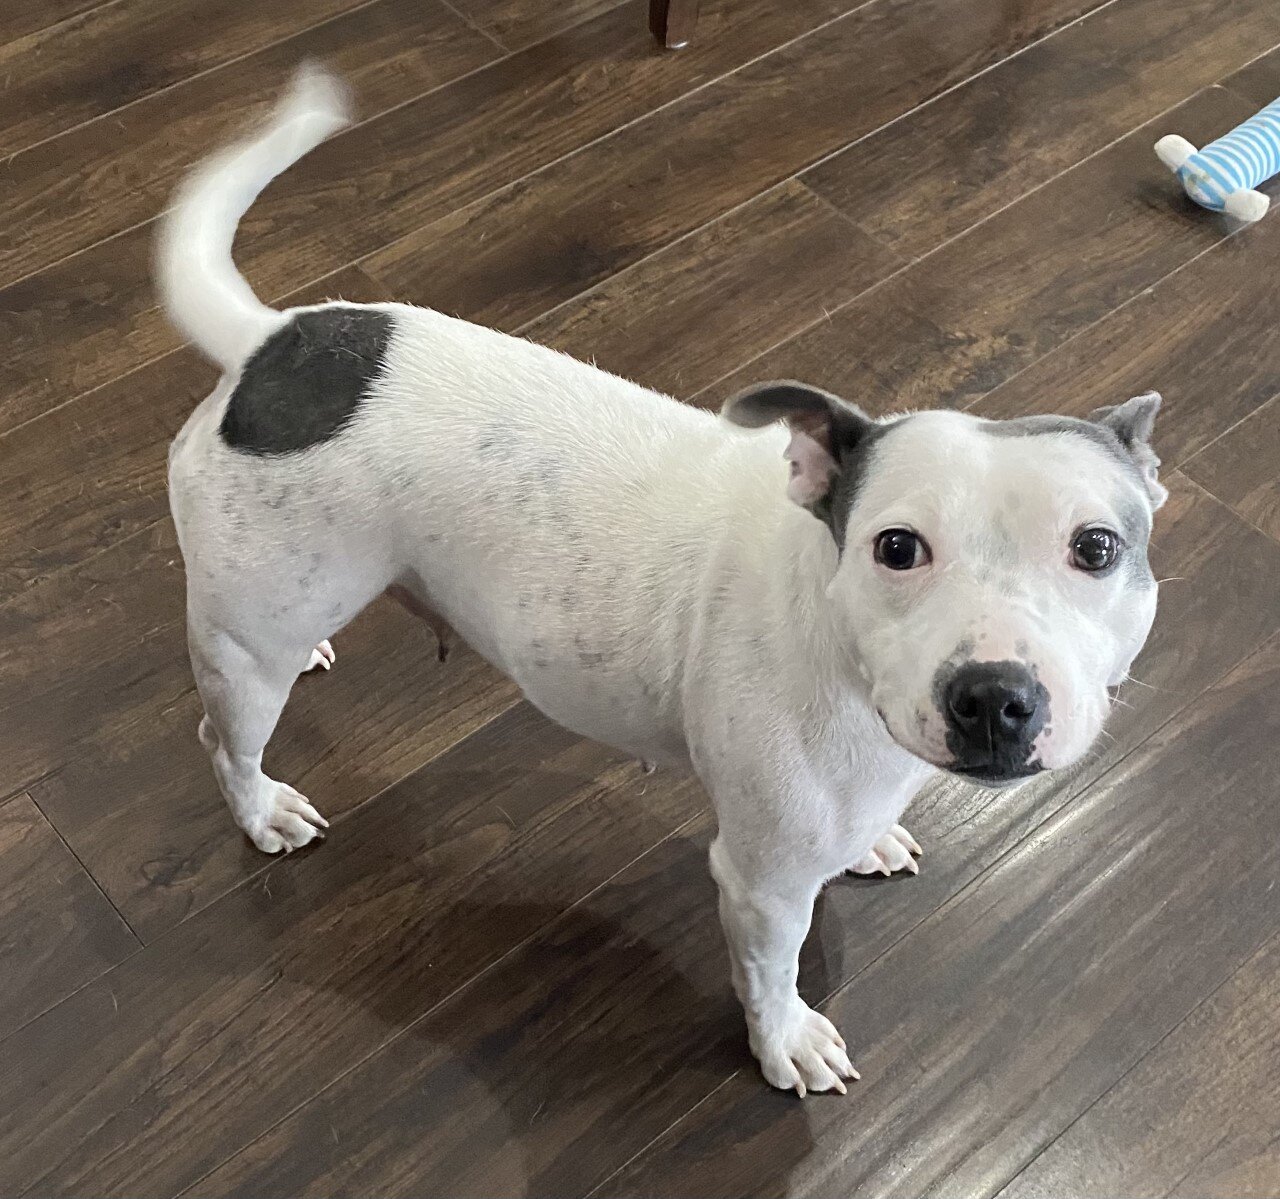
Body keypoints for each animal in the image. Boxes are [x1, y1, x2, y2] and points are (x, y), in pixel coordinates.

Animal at [160, 67, 1165, 1097]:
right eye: (897, 547)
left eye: (1096, 548)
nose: (996, 696)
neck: (834, 639)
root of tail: (274, 343)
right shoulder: (763, 882)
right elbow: (771, 971)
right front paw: (785, 1038)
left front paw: (876, 841)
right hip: (243, 653)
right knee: (225, 740)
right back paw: (261, 807)